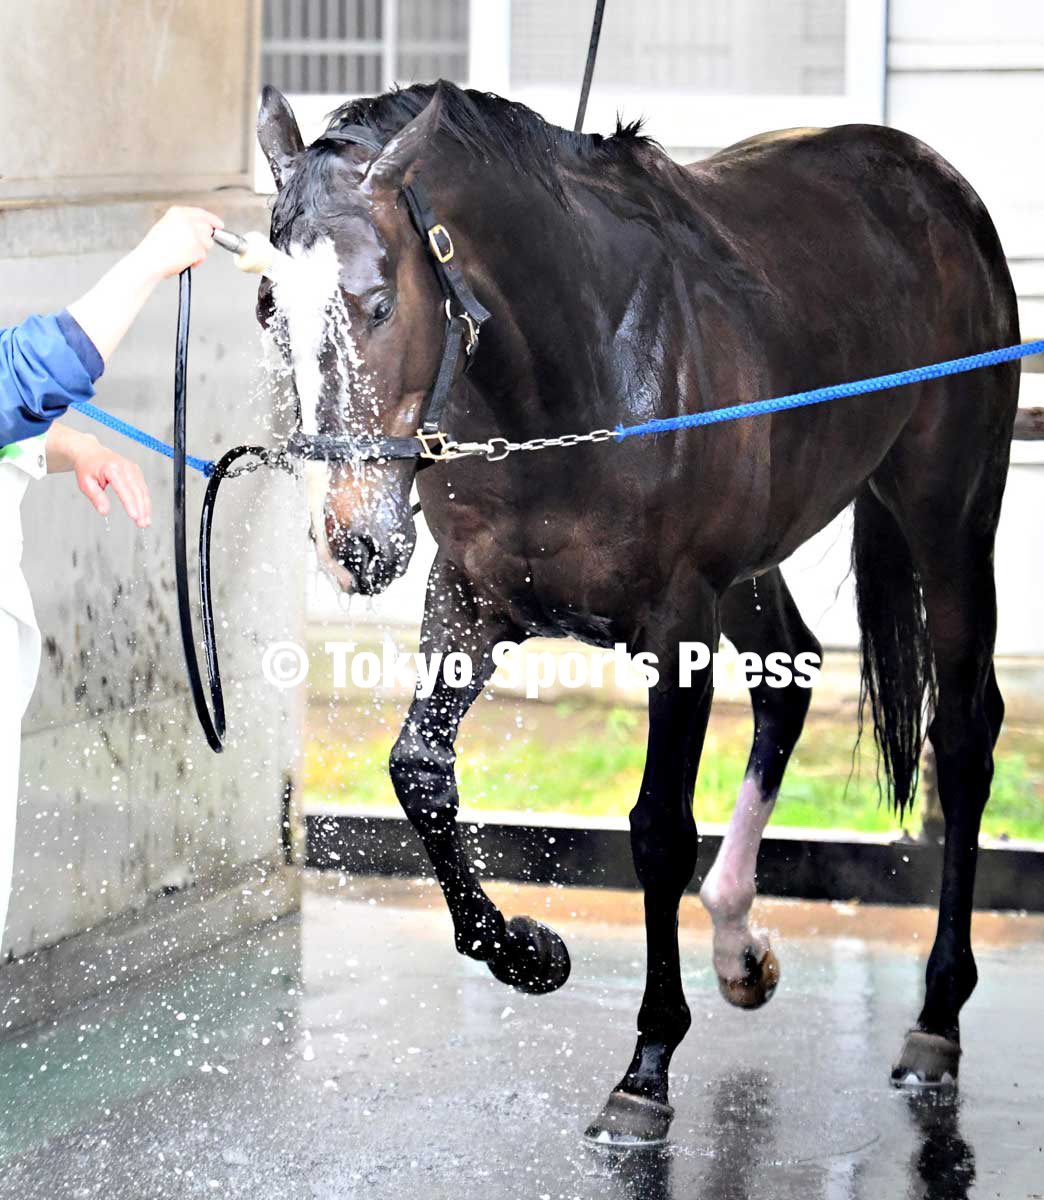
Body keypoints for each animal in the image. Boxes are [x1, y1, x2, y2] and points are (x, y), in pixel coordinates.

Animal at [253, 75, 1022, 1142]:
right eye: (268, 313)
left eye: (377, 302)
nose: (354, 544)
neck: (574, 370)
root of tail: (936, 182)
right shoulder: (471, 599)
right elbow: (419, 773)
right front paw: (527, 951)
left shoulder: (676, 622)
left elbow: (658, 826)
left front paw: (647, 1067)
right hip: (757, 567)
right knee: (791, 679)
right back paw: (739, 943)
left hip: (949, 519)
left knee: (965, 736)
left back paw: (936, 1017)